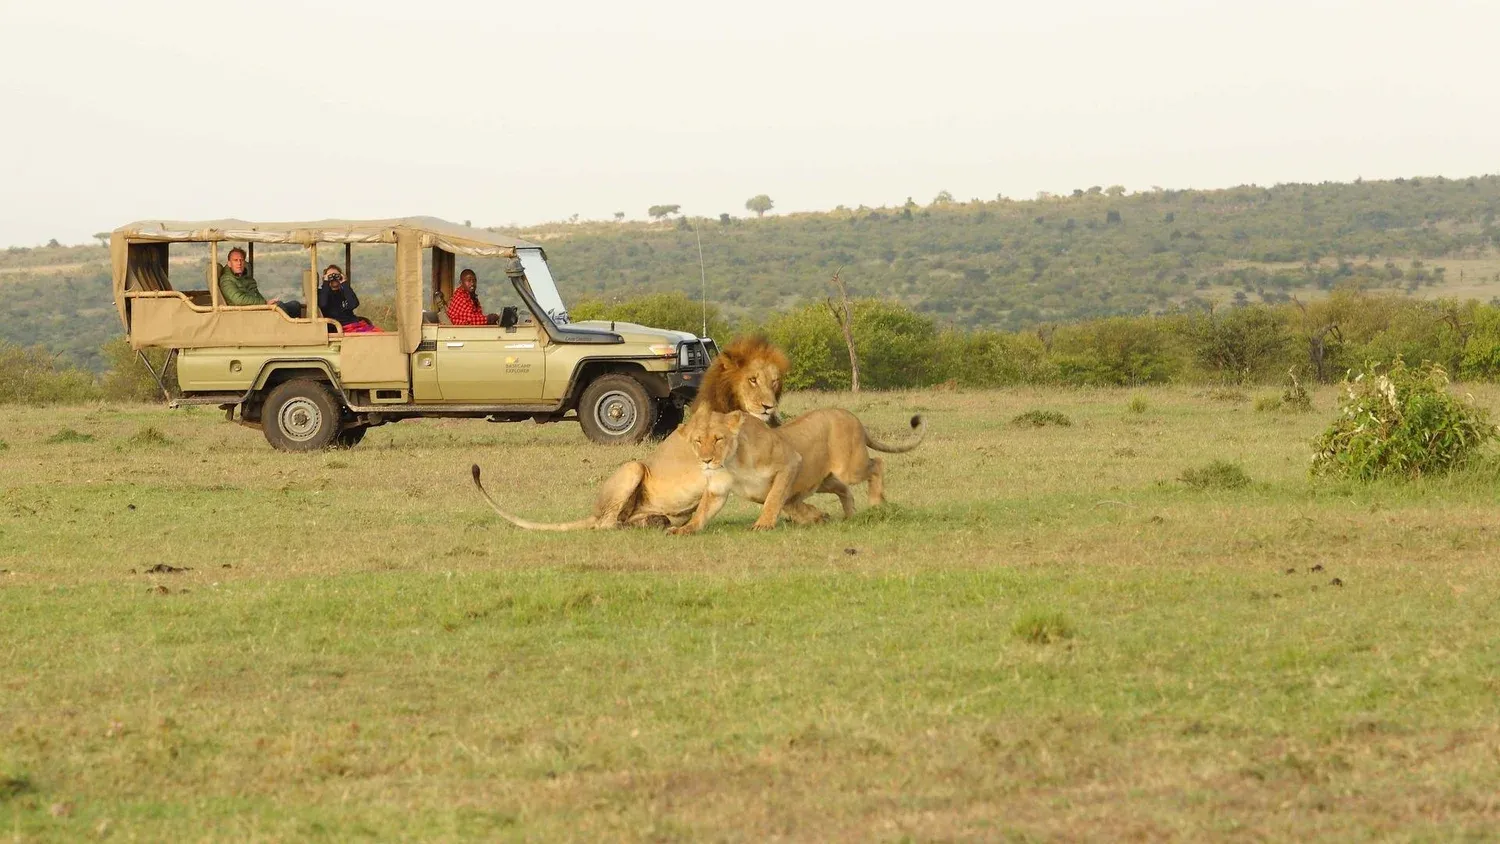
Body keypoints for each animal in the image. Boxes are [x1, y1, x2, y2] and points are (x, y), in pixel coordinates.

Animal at [470, 334, 793, 530]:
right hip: (633, 467)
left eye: (774, 381)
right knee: (607, 523)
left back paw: (652, 522)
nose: (769, 406)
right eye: (752, 380)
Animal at [667, 407, 928, 535]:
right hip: (824, 479)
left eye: (718, 439)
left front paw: (763, 525)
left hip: (849, 467)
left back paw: (875, 503)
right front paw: (683, 529)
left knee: (878, 463)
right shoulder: (717, 489)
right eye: (697, 441)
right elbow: (702, 513)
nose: (706, 460)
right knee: (843, 490)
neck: (731, 462)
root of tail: (853, 417)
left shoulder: (790, 462)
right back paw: (843, 515)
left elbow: (773, 498)